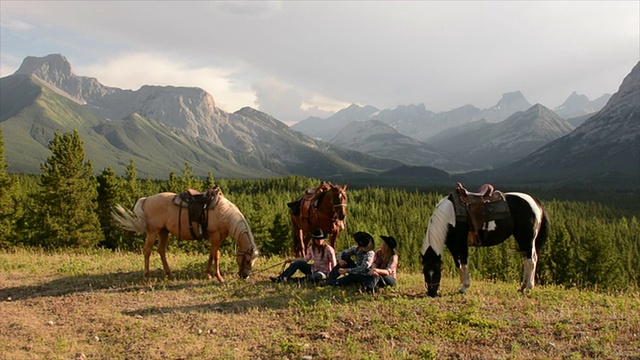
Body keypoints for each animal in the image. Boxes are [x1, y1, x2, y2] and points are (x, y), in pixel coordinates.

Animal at [112, 187, 258, 282]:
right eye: (248, 260)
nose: (245, 276)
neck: (224, 213)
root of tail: (146, 199)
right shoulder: (215, 235)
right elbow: (216, 256)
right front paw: (219, 277)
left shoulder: (218, 237)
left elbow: (212, 254)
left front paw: (207, 274)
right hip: (153, 231)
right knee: (147, 250)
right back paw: (147, 276)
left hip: (163, 231)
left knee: (161, 250)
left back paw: (170, 274)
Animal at [420, 183, 552, 298]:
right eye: (424, 271)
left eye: (436, 271)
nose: (431, 293)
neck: (449, 216)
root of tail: (536, 202)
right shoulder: (452, 246)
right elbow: (458, 265)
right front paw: (462, 286)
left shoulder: (461, 244)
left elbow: (464, 264)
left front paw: (464, 287)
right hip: (521, 239)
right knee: (526, 260)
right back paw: (522, 287)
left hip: (527, 238)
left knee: (531, 260)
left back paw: (529, 287)